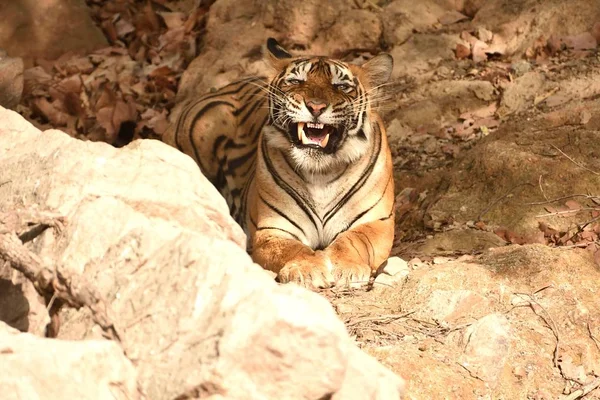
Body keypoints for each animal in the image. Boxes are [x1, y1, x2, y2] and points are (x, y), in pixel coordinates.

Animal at [164, 38, 396, 288]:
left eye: (341, 87)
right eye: (296, 81)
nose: (315, 107)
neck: (321, 172)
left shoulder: (377, 222)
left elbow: (353, 240)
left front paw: (347, 267)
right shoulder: (273, 228)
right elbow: (291, 249)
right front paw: (307, 269)